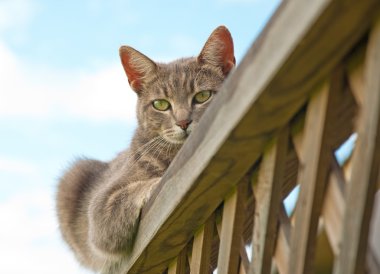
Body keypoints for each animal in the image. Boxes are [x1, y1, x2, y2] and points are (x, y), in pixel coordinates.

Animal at [56, 25, 235, 272]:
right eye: (160, 104)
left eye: (202, 96)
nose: (183, 122)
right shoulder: (101, 209)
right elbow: (131, 191)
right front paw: (157, 182)